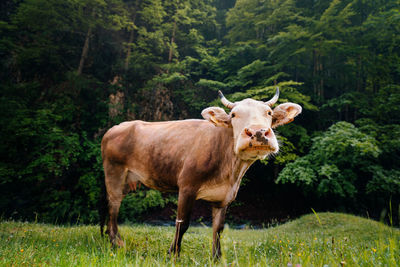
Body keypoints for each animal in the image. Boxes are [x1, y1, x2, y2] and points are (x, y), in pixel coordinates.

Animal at [99, 88, 300, 260]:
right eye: (233, 115)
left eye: (269, 113)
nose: (258, 132)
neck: (230, 171)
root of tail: (115, 128)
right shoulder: (187, 186)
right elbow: (182, 223)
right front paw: (173, 255)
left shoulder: (224, 197)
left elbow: (218, 228)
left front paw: (216, 258)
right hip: (114, 172)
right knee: (113, 206)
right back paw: (116, 243)